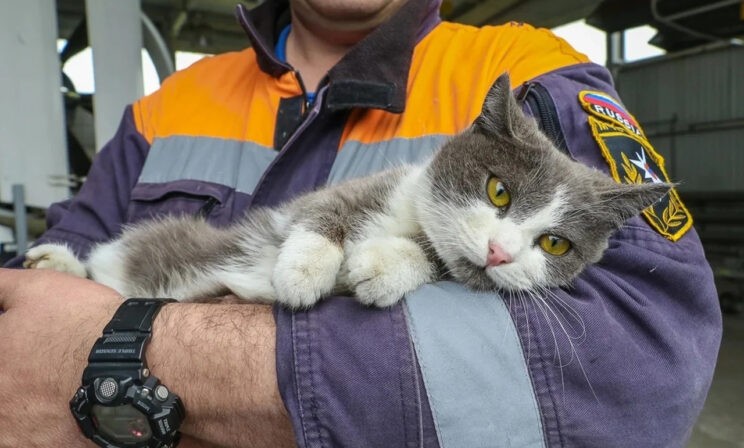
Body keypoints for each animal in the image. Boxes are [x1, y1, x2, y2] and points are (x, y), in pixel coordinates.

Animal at [21, 75, 668, 310]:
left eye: (555, 244)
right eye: (499, 191)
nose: (500, 252)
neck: (408, 217)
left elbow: (428, 263)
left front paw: (383, 267)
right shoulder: (346, 195)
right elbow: (320, 210)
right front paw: (304, 270)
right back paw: (55, 262)